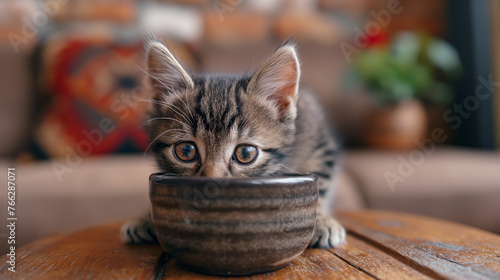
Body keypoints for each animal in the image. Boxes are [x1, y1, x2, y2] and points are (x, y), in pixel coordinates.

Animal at [121, 38, 346, 248]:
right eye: (185, 150)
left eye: (245, 154)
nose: (210, 183)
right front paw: (144, 218)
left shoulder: (318, 137)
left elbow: (322, 181)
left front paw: (322, 221)